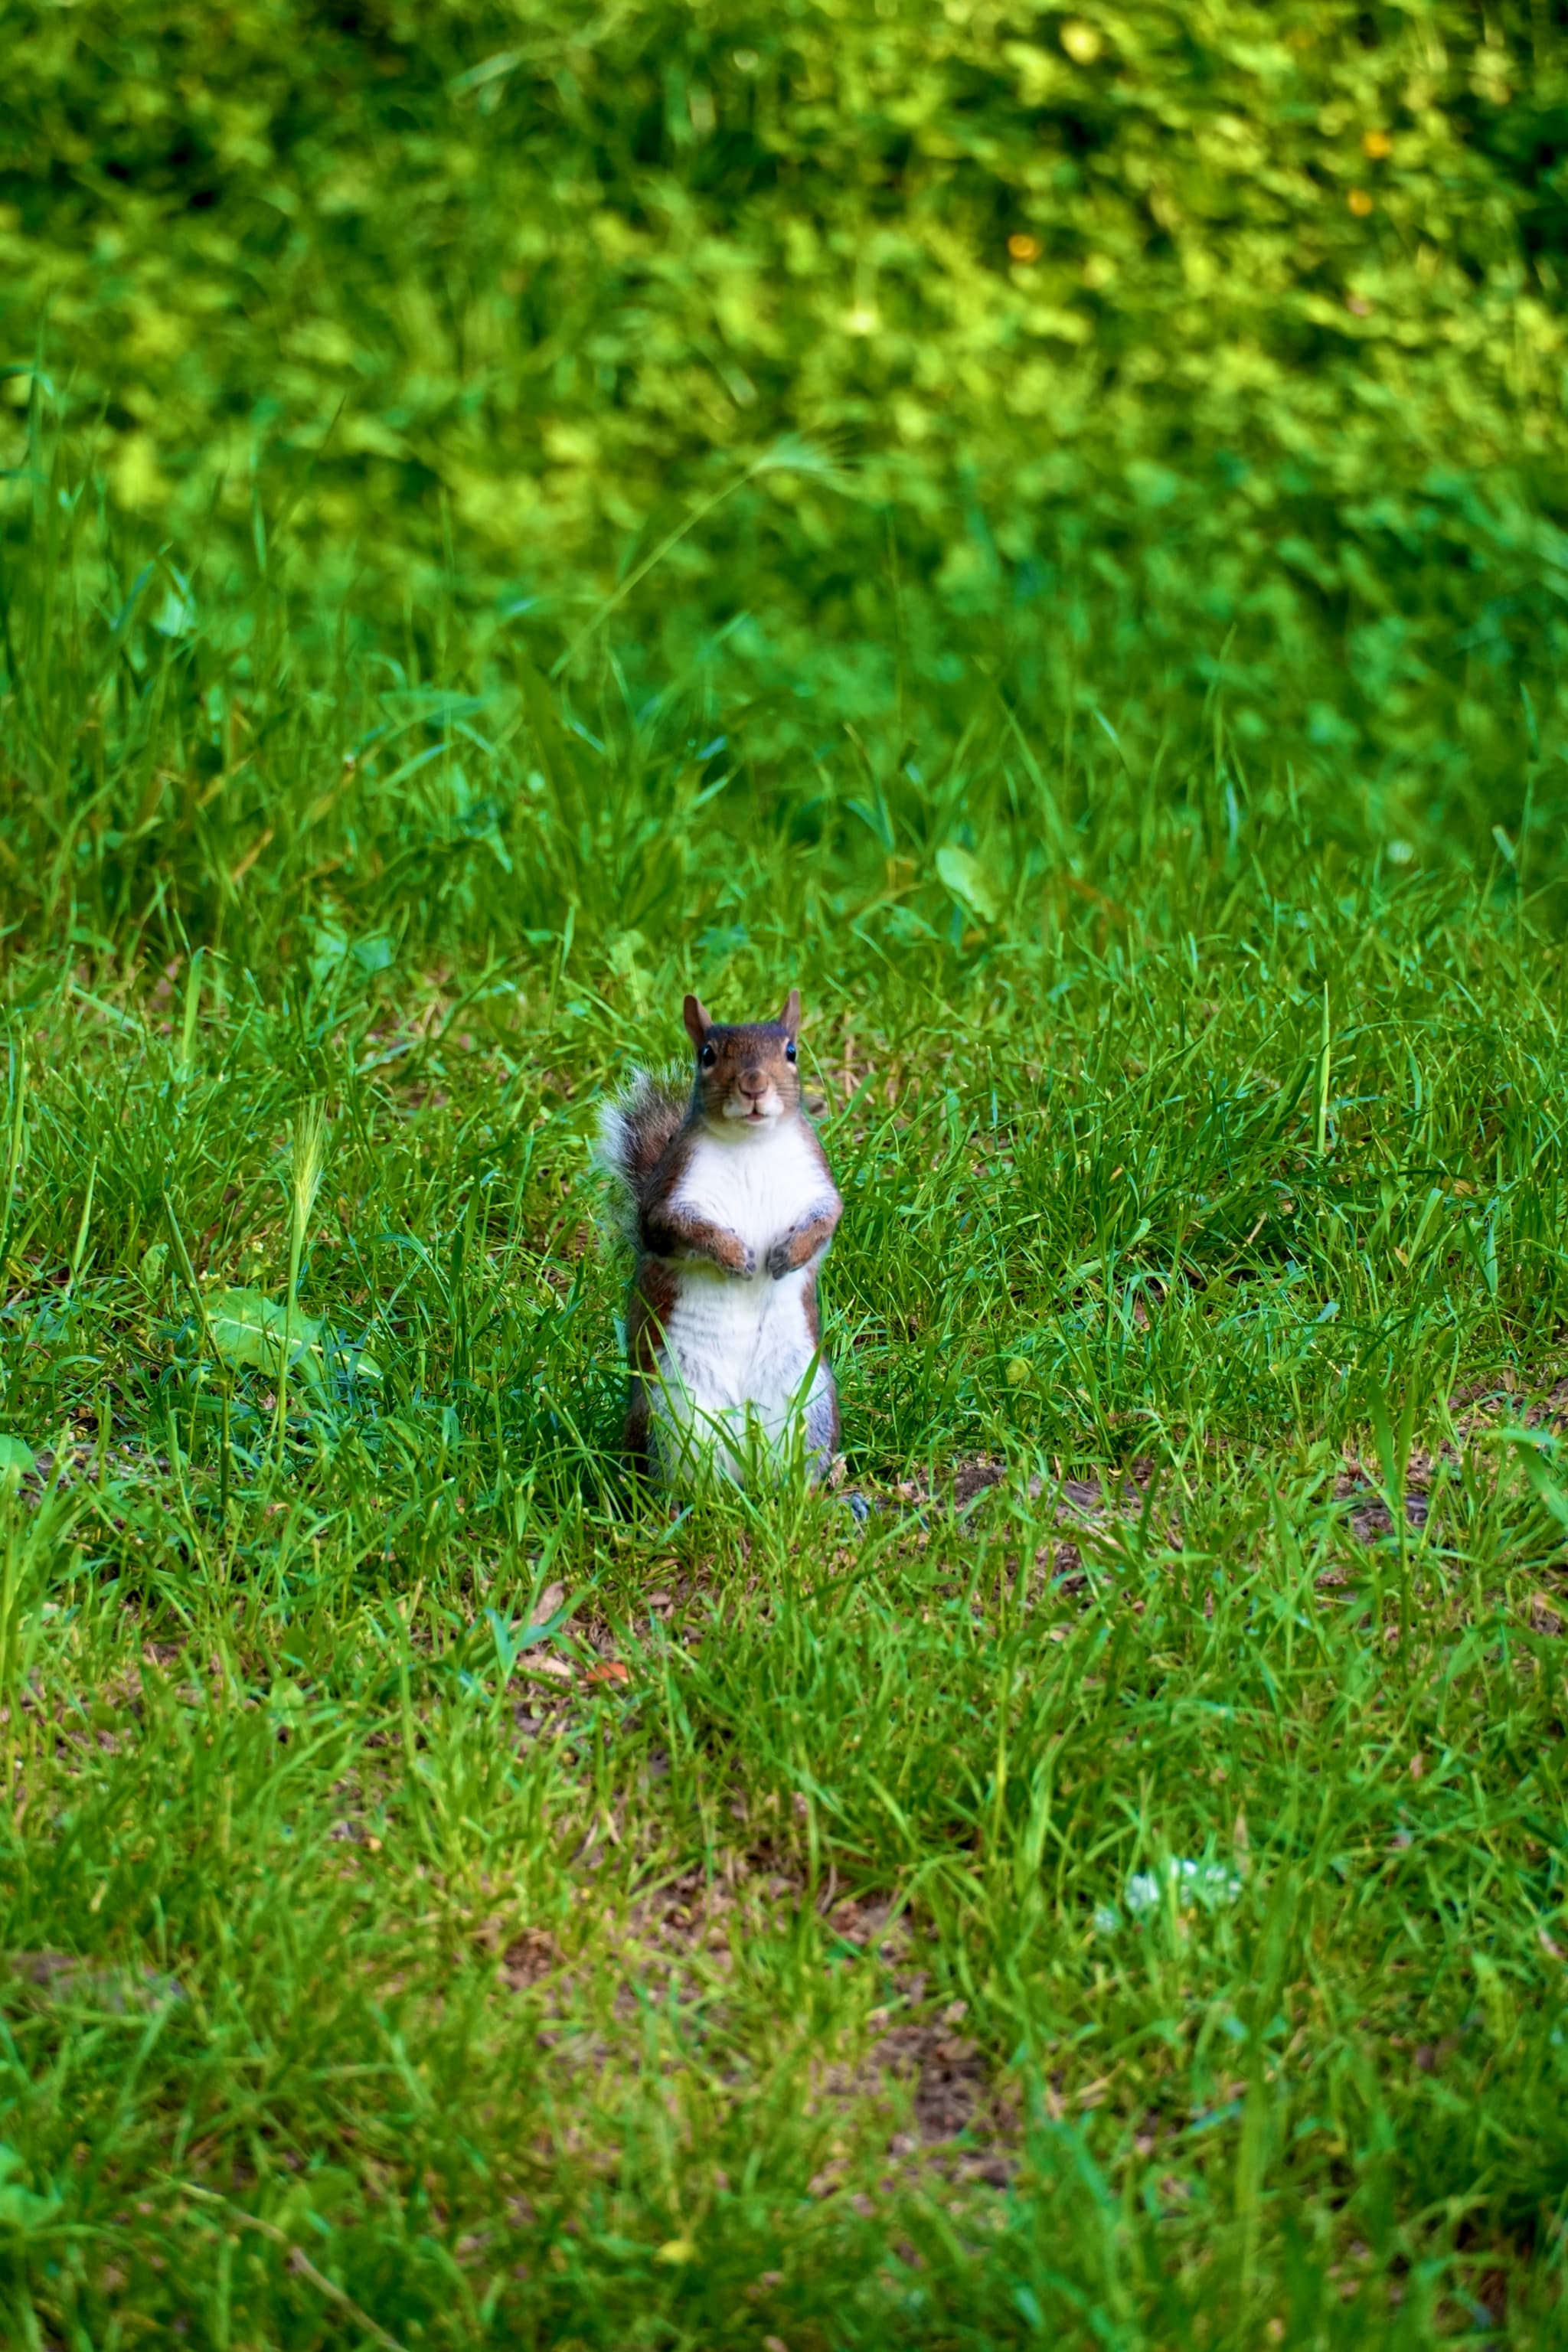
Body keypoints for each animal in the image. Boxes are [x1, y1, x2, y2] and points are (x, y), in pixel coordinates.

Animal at [597, 988, 843, 1487]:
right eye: (707, 1055)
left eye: (792, 1051)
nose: (753, 1085)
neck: (751, 1143)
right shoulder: (667, 1196)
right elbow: (677, 1229)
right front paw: (733, 1256)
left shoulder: (819, 1185)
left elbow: (826, 1222)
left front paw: (788, 1255)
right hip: (671, 1411)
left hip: (809, 1400)